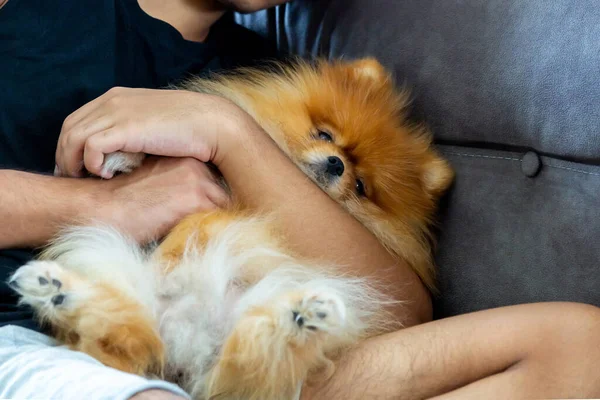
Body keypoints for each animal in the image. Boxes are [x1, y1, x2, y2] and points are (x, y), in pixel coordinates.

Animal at [9, 57, 452, 398]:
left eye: (361, 187)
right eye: (324, 133)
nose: (335, 163)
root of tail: (183, 351)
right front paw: (122, 156)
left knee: (250, 356)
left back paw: (300, 319)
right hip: (105, 256)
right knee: (121, 333)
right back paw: (56, 291)